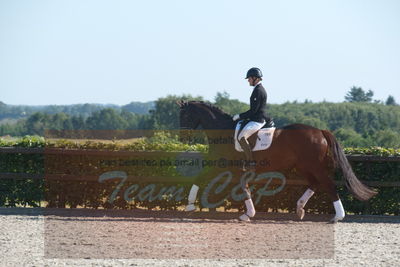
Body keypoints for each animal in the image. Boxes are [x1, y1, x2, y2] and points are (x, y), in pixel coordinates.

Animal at [177, 100, 376, 222]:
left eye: (185, 116)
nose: (182, 139)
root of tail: (320, 131)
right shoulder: (224, 167)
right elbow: (206, 180)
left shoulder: (225, 166)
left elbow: (233, 185)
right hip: (304, 167)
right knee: (315, 183)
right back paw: (300, 209)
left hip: (314, 166)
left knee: (328, 184)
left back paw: (337, 216)